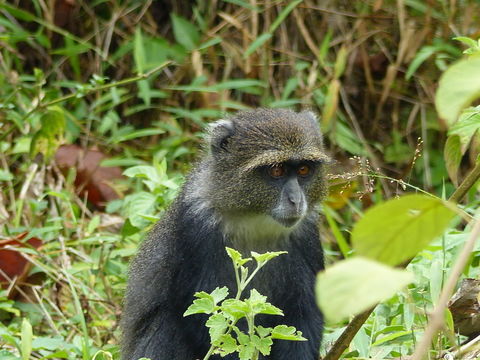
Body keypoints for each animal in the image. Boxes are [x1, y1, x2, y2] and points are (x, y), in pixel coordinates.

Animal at [122, 108, 328, 358]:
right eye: (276, 170)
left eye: (304, 170)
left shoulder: (306, 233)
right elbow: (208, 316)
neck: (252, 217)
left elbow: (305, 317)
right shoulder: (197, 226)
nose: (296, 201)